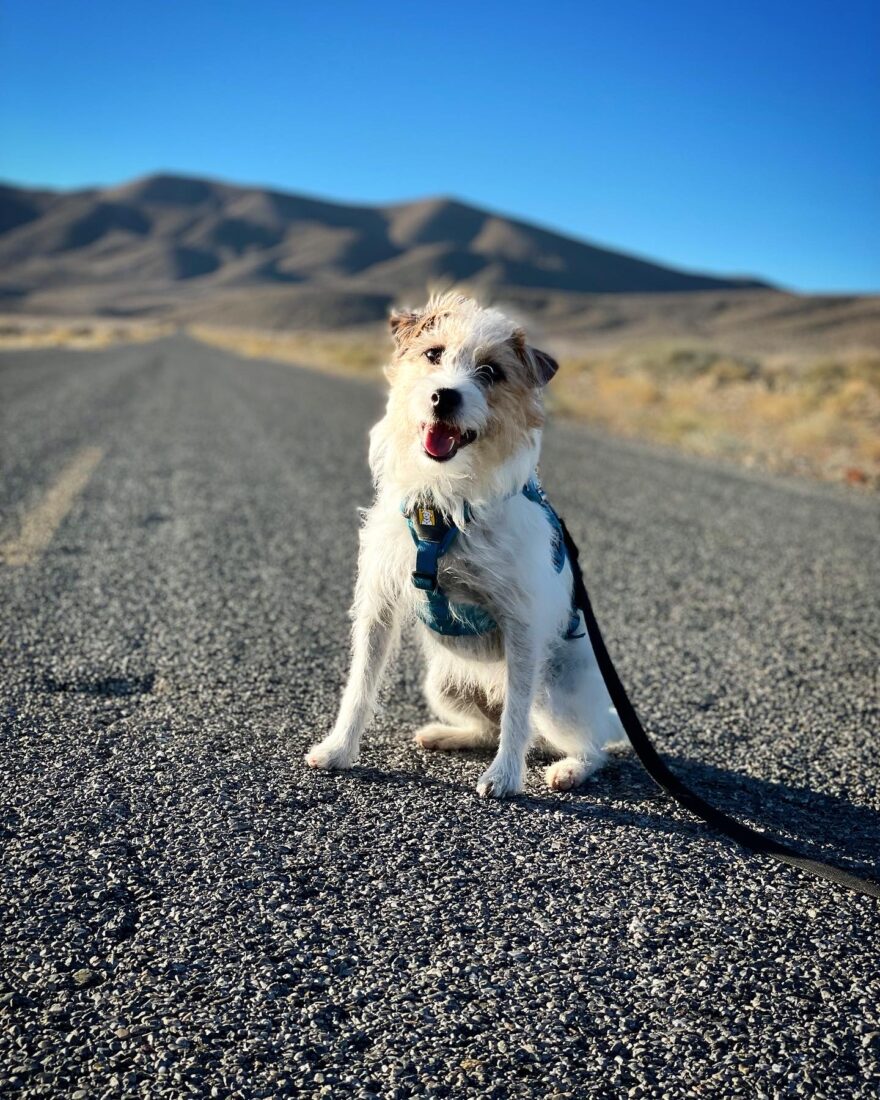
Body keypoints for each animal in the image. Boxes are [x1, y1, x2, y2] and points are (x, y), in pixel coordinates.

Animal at [305, 288, 620, 796]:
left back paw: (569, 769)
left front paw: (505, 776)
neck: (443, 500)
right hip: (443, 684)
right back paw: (445, 734)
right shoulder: (379, 604)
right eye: (433, 355)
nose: (443, 396)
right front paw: (338, 749)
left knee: (581, 743)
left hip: (552, 695)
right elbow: (360, 686)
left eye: (491, 372)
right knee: (488, 726)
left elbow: (516, 716)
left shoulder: (522, 624)